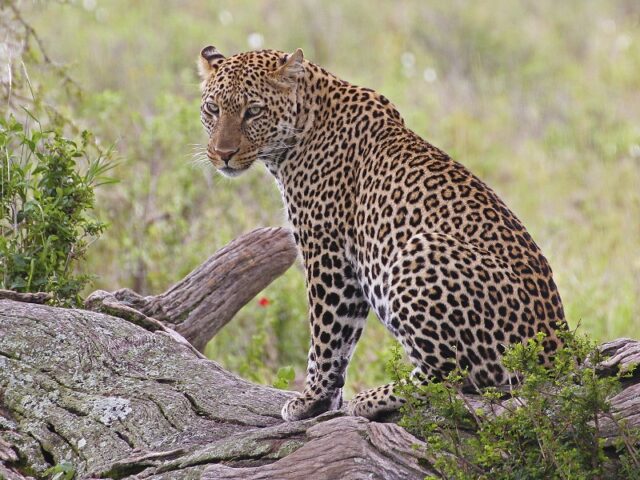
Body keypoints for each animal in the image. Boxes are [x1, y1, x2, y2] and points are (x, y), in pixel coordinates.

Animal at [197, 45, 567, 421]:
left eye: (253, 111)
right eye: (212, 108)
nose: (223, 154)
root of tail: (560, 350)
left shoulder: (327, 252)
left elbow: (325, 334)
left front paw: (310, 400)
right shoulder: (350, 266)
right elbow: (343, 337)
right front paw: (325, 400)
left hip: (419, 251)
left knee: (456, 374)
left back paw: (374, 396)